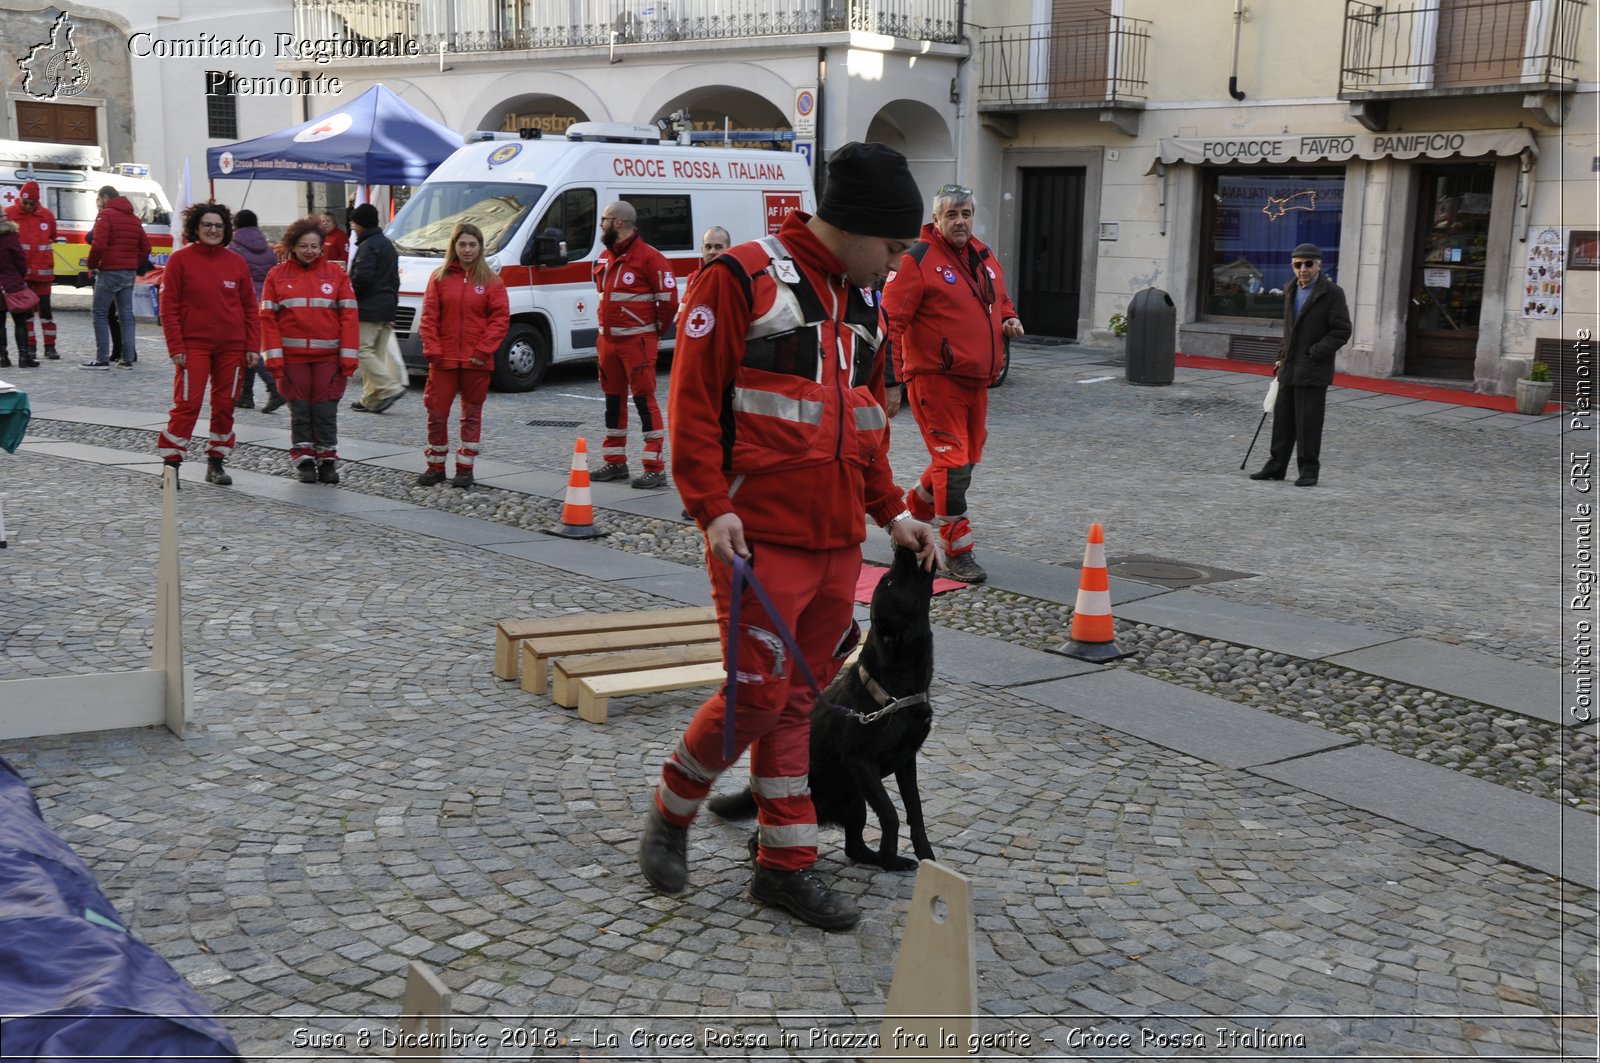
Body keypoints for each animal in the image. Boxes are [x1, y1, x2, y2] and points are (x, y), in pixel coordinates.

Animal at [710, 544, 934, 870]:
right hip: (816, 807)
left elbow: (915, 810)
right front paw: (890, 857)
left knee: (853, 847)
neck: (896, 693)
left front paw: (924, 856)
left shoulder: (907, 760)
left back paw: (875, 858)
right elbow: (891, 813)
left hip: (855, 802)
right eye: (890, 581)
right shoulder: (860, 761)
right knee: (760, 839)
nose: (900, 546)